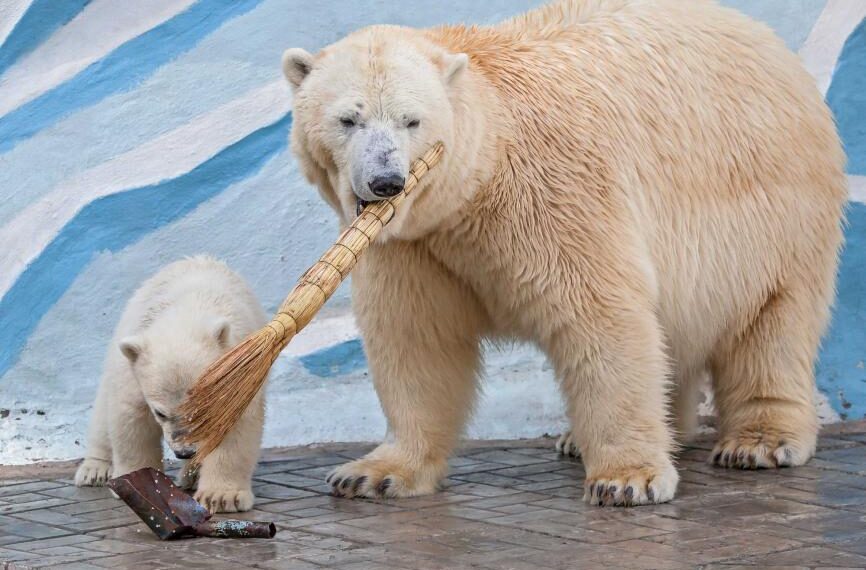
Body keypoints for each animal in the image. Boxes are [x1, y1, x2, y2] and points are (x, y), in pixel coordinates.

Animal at [282, 0, 844, 504]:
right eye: (348, 120)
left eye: (411, 120)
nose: (387, 182)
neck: (478, 178)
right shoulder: (413, 244)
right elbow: (416, 338)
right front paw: (372, 473)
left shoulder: (551, 197)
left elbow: (598, 316)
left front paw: (627, 479)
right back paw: (605, 435)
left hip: (775, 209)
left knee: (772, 320)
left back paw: (758, 442)